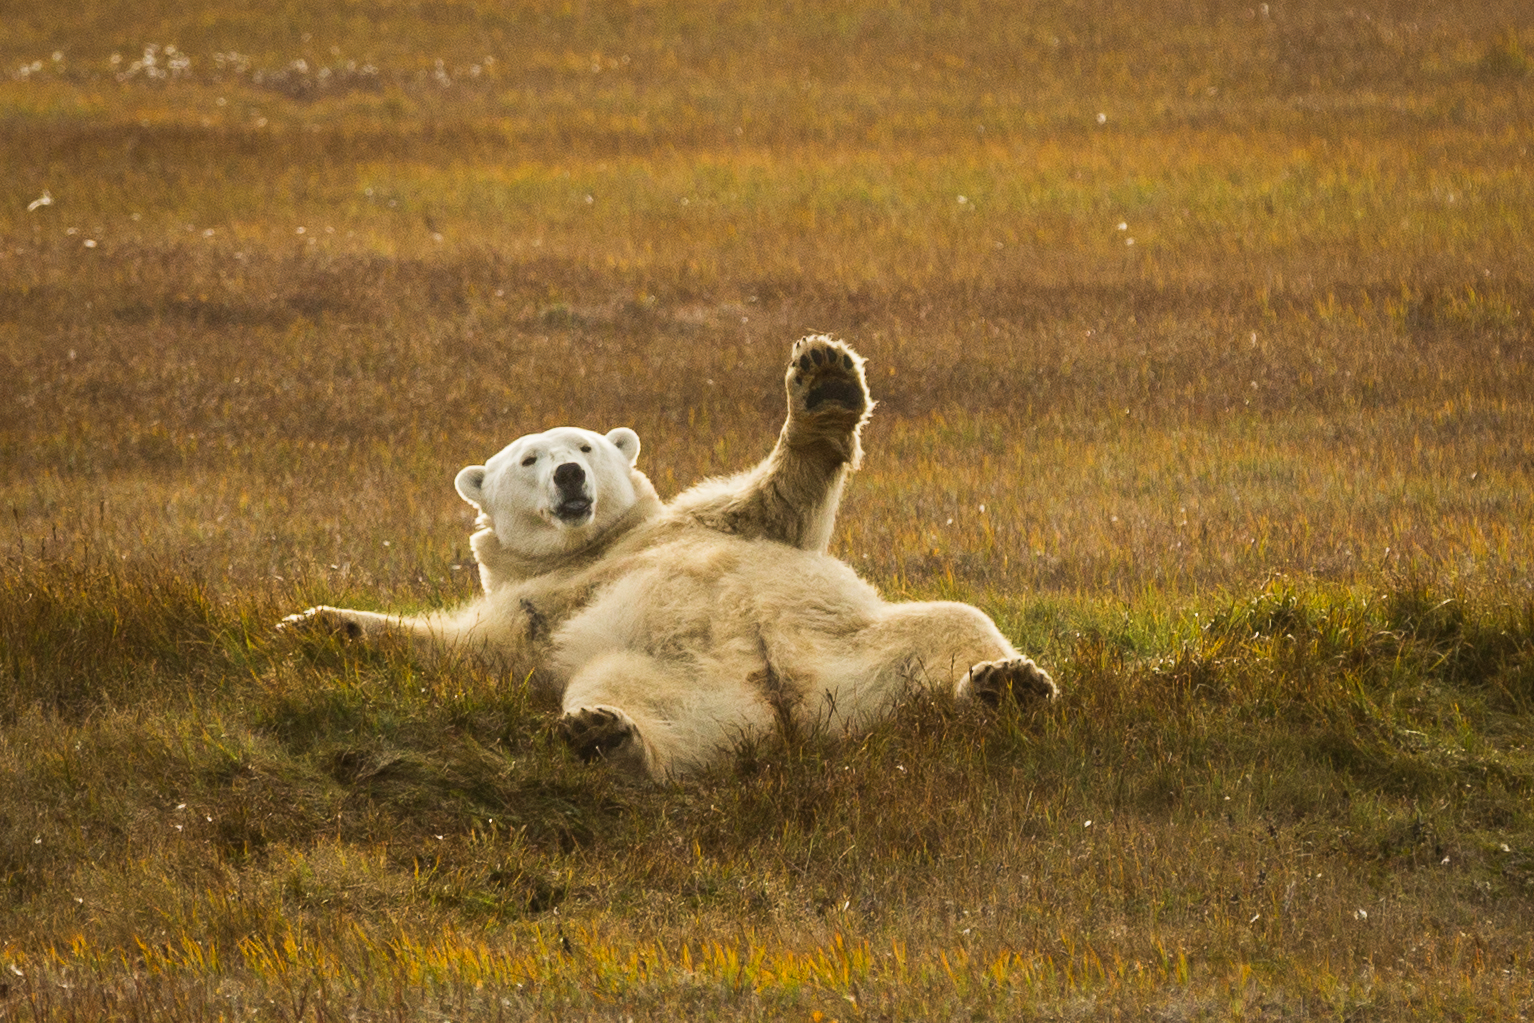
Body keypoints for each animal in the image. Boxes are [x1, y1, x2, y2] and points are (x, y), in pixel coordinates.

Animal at [281, 335, 1056, 781]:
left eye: (584, 444)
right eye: (529, 458)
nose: (569, 475)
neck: (596, 548)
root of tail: (796, 714)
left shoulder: (705, 521)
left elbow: (780, 497)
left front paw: (825, 380)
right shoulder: (536, 606)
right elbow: (469, 648)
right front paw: (319, 624)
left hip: (855, 652)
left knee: (951, 626)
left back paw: (1004, 683)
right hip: (682, 684)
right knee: (637, 700)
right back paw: (608, 737)